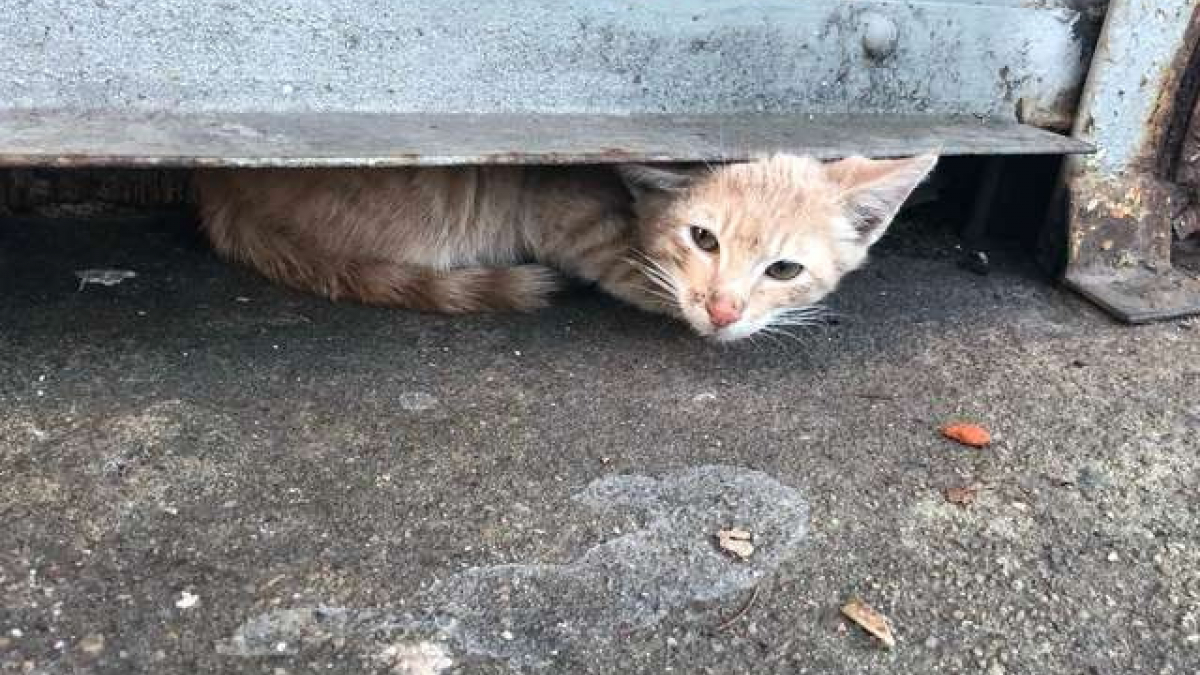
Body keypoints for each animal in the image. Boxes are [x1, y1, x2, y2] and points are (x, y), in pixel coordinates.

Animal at [192, 153, 931, 341]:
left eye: (783, 268)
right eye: (702, 238)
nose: (724, 310)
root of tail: (224, 193)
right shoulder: (558, 210)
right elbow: (631, 272)